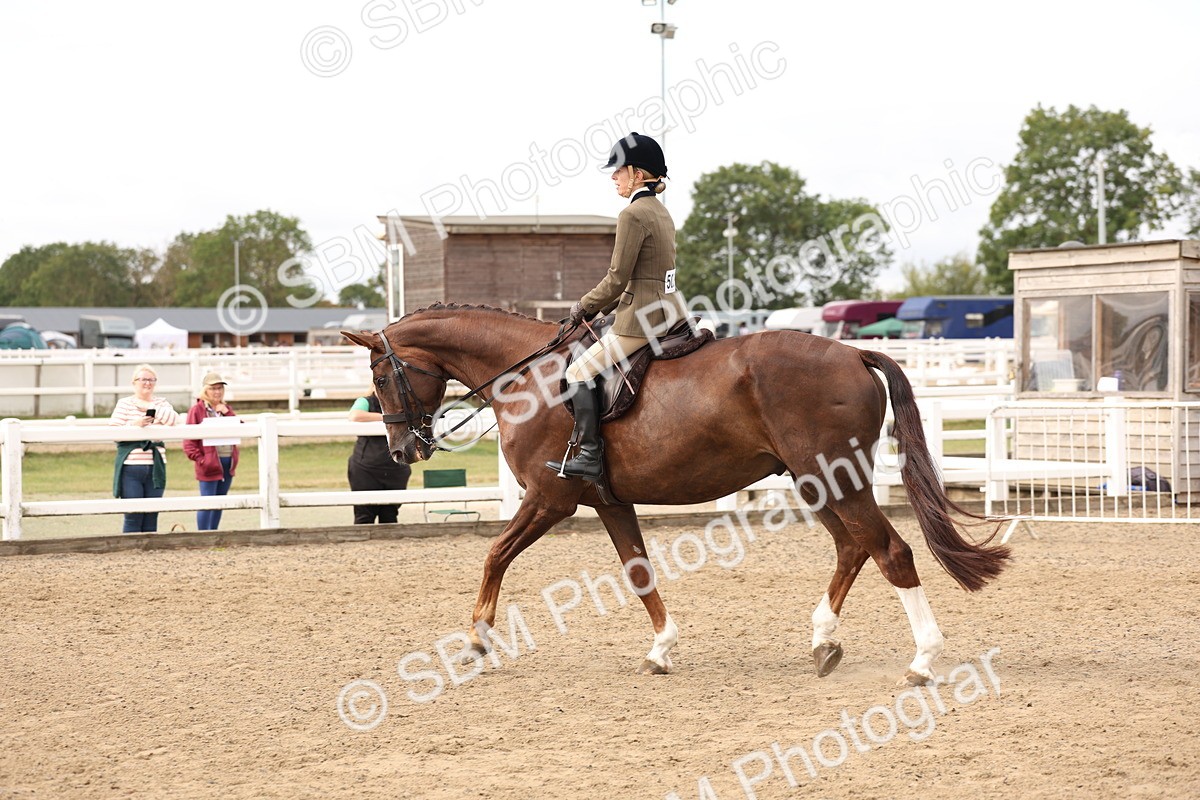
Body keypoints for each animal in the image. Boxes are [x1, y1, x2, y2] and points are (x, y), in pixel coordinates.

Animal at [343, 303, 1009, 686]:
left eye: (380, 377)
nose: (402, 453)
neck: (529, 377)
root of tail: (852, 351)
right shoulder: (608, 501)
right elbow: (638, 572)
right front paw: (662, 649)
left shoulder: (549, 499)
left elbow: (494, 555)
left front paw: (478, 637)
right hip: (816, 482)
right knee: (854, 549)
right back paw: (824, 641)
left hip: (836, 478)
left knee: (891, 552)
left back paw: (922, 661)